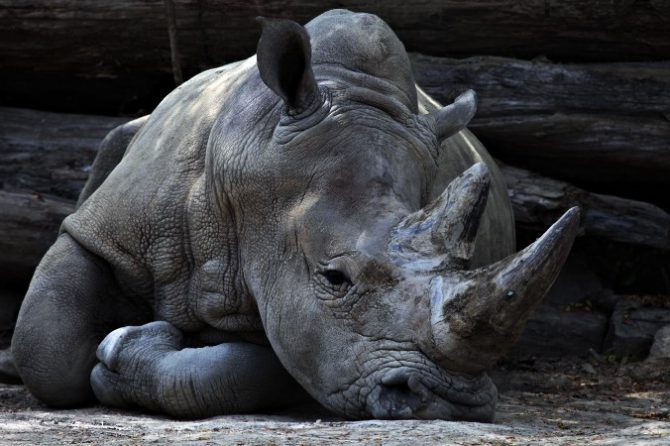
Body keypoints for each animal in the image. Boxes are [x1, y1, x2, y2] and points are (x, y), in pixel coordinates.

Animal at [11, 9, 579, 421]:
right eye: (334, 277)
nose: (447, 402)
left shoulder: (308, 324)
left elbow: (267, 365)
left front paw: (130, 349)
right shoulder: (109, 229)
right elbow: (45, 348)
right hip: (130, 133)